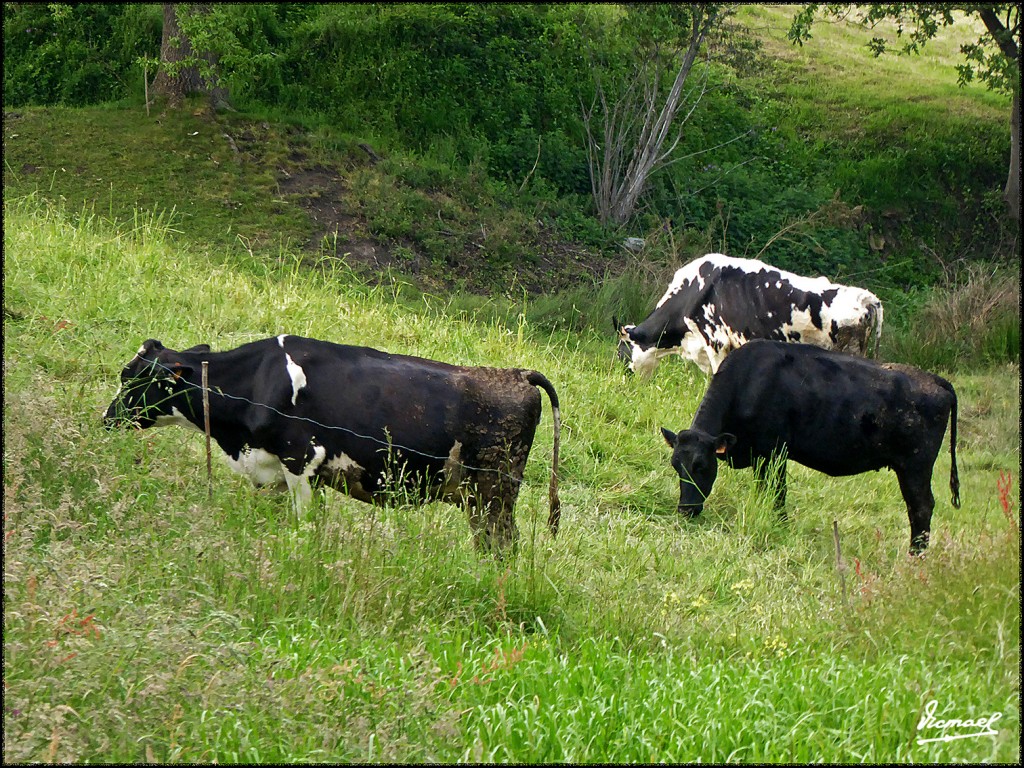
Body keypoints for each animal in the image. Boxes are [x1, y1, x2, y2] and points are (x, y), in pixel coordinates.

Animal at [103, 335, 561, 552]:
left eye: (132, 377)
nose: (107, 418)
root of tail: (518, 373)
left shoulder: (301, 460)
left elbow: (305, 526)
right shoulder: (271, 472)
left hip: (494, 490)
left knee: (502, 545)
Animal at [659, 342, 962, 552]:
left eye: (701, 466)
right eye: (676, 466)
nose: (685, 510)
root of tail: (935, 380)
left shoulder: (775, 451)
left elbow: (778, 492)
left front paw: (780, 524)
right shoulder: (760, 456)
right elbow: (763, 490)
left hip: (915, 466)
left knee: (921, 507)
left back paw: (916, 555)